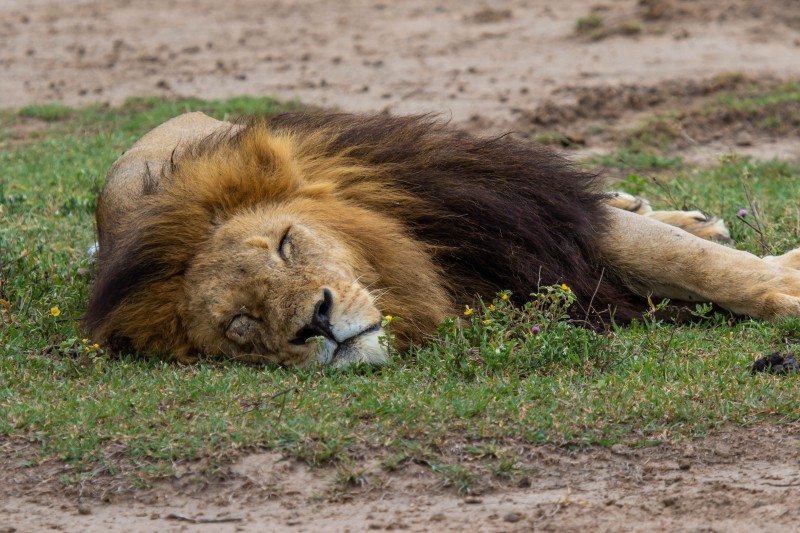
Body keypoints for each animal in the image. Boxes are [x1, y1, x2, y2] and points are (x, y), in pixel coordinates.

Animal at [83, 111, 800, 366]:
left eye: (286, 243)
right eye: (240, 323)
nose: (317, 323)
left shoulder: (524, 218)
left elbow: (695, 263)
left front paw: (785, 282)